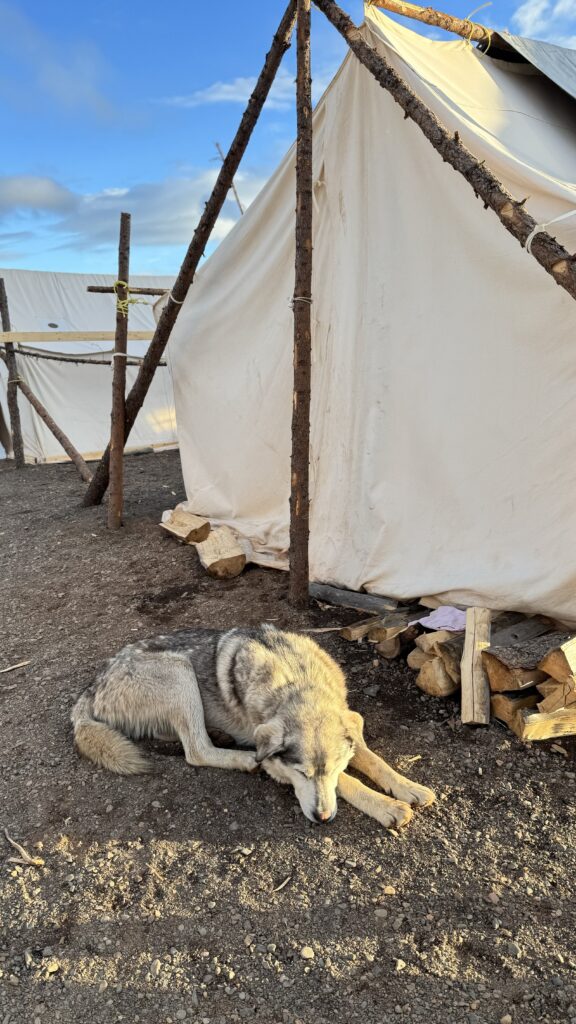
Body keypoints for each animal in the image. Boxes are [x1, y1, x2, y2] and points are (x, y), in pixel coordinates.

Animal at [70, 622, 430, 831]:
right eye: (300, 774)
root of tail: (91, 689)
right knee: (196, 750)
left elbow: (374, 761)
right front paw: (386, 806)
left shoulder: (348, 729)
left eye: (330, 768)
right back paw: (241, 758)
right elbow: (350, 782)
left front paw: (407, 787)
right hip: (179, 671)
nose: (322, 818)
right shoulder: (274, 759)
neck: (298, 681)